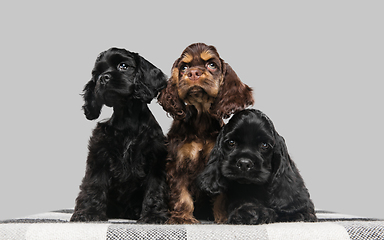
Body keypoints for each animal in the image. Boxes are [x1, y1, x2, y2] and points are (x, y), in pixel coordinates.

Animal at [70, 47, 168, 223]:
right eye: (96, 74)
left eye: (123, 66)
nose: (103, 78)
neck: (126, 116)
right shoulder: (99, 155)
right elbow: (93, 185)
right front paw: (89, 213)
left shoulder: (155, 159)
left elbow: (155, 189)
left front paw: (153, 215)